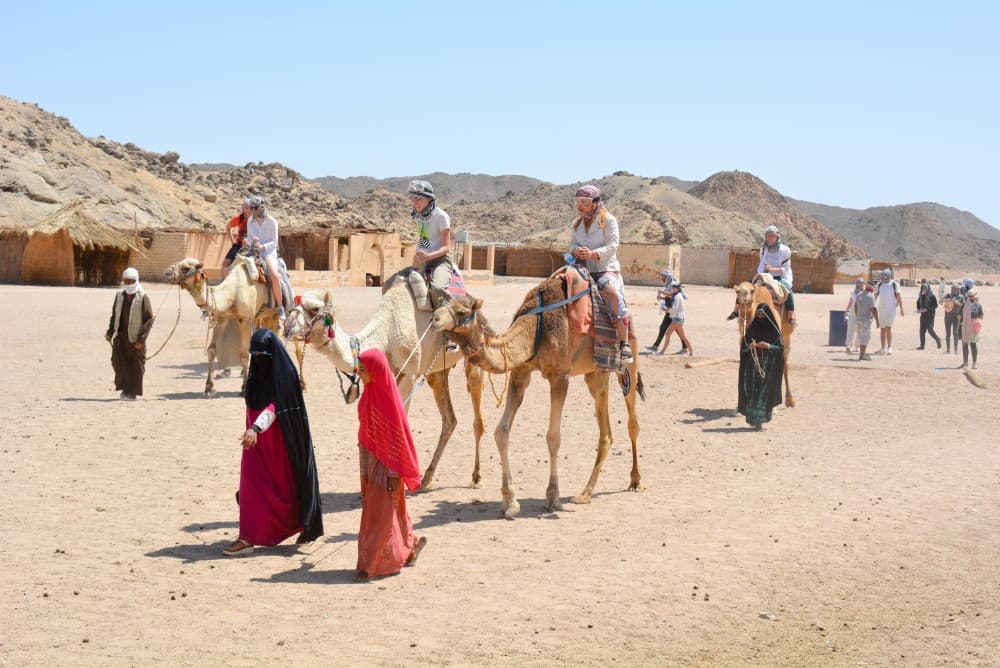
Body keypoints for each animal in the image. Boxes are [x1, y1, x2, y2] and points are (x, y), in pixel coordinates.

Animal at [163, 256, 306, 396]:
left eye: (186, 268)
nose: (167, 273)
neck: (232, 293)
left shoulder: (246, 319)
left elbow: (244, 354)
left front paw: (244, 388)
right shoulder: (222, 319)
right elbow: (211, 350)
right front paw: (209, 388)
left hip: (288, 307)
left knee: (297, 348)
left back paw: (302, 384)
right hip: (268, 315)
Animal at [284, 277, 486, 489]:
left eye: (314, 308)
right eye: (291, 307)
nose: (287, 326)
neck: (386, 332)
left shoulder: (410, 374)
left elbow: (400, 422)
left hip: (475, 354)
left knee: (477, 415)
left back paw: (476, 476)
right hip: (438, 372)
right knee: (449, 419)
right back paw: (427, 478)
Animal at [430, 273, 645, 519]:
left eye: (462, 311)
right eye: (442, 304)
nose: (434, 319)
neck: (535, 328)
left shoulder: (559, 377)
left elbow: (553, 437)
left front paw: (553, 497)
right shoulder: (521, 372)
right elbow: (501, 431)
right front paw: (510, 501)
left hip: (628, 364)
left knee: (633, 421)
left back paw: (636, 481)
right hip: (596, 373)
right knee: (606, 432)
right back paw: (585, 493)